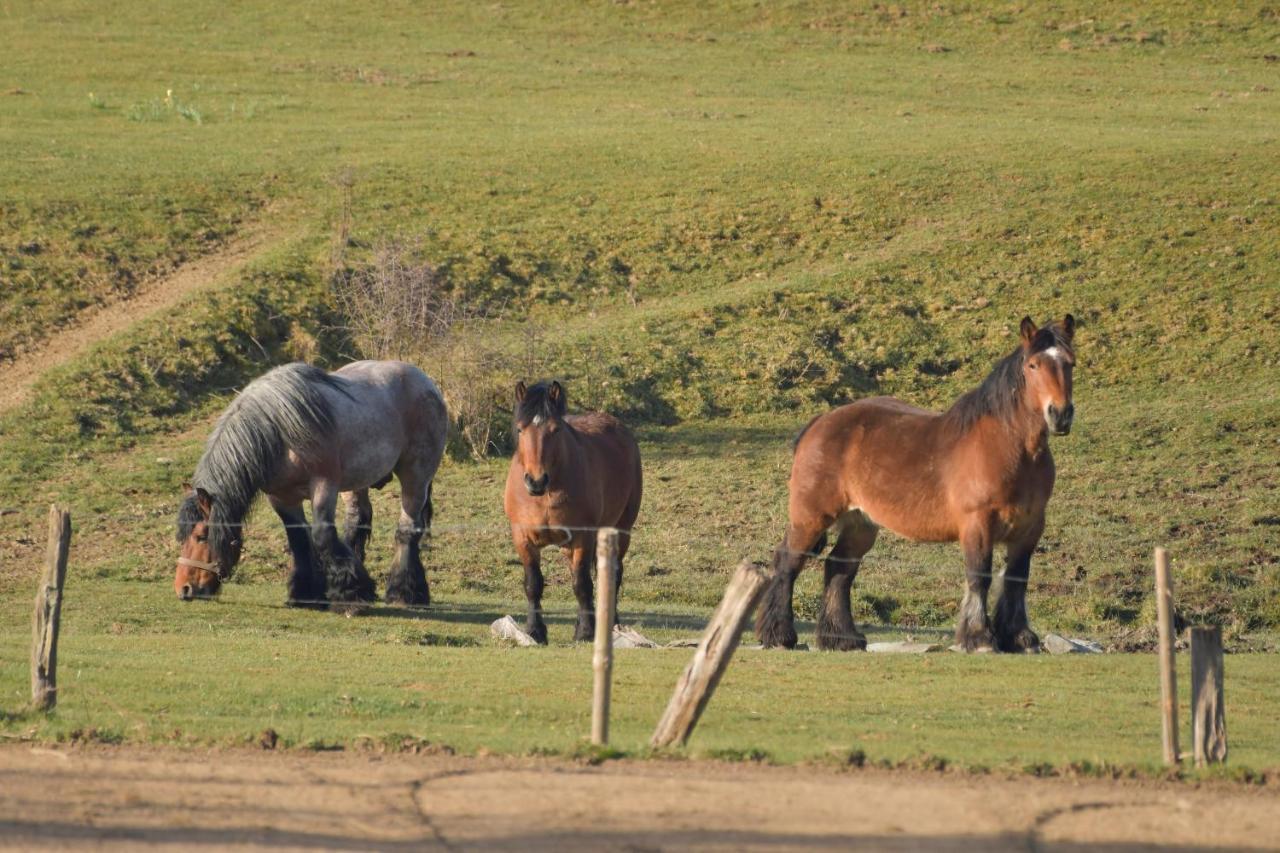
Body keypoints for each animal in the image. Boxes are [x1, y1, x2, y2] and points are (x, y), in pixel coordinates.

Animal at [172, 358, 448, 604]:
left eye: (201, 536)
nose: (183, 589)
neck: (278, 433)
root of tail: (426, 382)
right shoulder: (281, 497)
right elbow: (299, 540)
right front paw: (306, 593)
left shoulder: (324, 486)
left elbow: (322, 534)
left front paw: (350, 593)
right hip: (355, 484)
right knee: (356, 521)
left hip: (416, 476)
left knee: (407, 529)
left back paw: (403, 593)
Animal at [752, 312, 1075, 650]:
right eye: (1033, 365)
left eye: (1071, 363)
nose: (1060, 414)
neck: (1008, 447)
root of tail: (819, 423)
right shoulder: (978, 524)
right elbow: (979, 576)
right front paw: (979, 637)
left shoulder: (1029, 528)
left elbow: (1017, 578)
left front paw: (1019, 636)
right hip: (811, 517)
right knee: (788, 562)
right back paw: (779, 634)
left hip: (860, 524)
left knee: (839, 568)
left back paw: (843, 637)